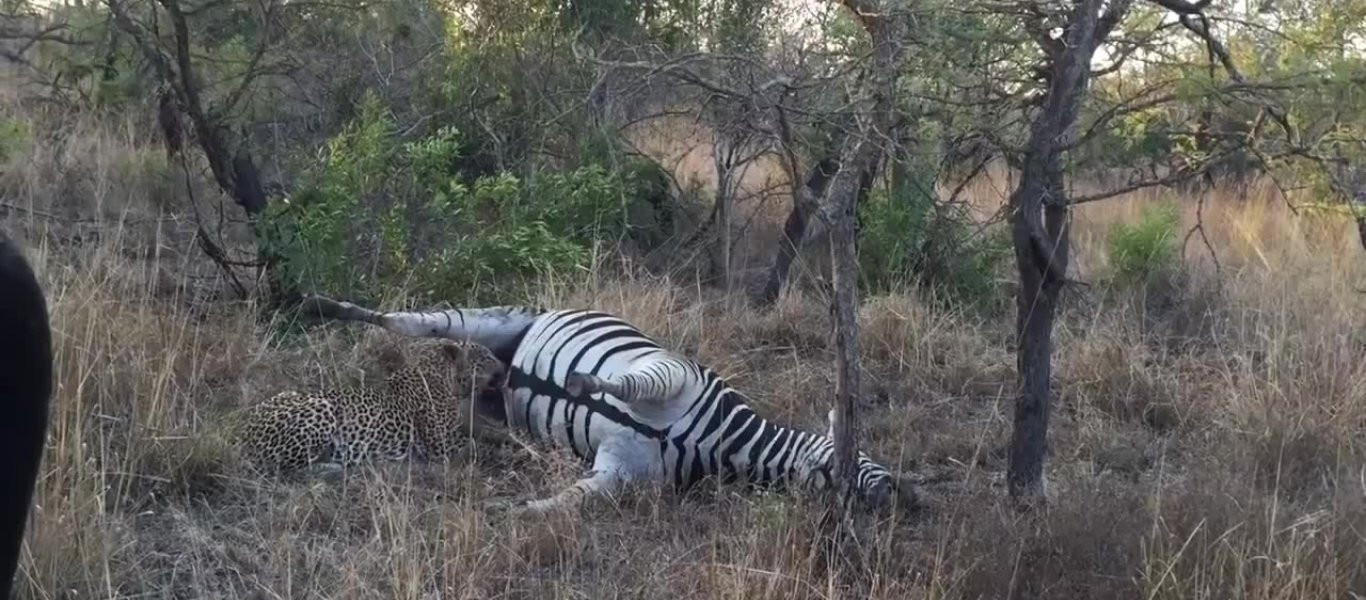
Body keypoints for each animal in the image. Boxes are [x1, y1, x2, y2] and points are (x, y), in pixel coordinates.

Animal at [234, 338, 513, 475]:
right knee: (290, 469)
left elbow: (488, 433)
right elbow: (477, 447)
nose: (505, 365)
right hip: (320, 406)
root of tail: (244, 436)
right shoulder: (443, 443)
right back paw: (335, 468)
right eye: (487, 356)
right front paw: (509, 453)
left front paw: (511, 438)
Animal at [301, 293, 917, 513]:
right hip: (482, 320)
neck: (720, 440)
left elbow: (571, 499)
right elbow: (628, 386)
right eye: (863, 457)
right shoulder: (672, 372)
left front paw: (513, 510)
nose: (905, 496)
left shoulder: (622, 471)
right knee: (405, 320)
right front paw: (580, 383)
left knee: (477, 412)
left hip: (481, 397)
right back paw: (324, 307)